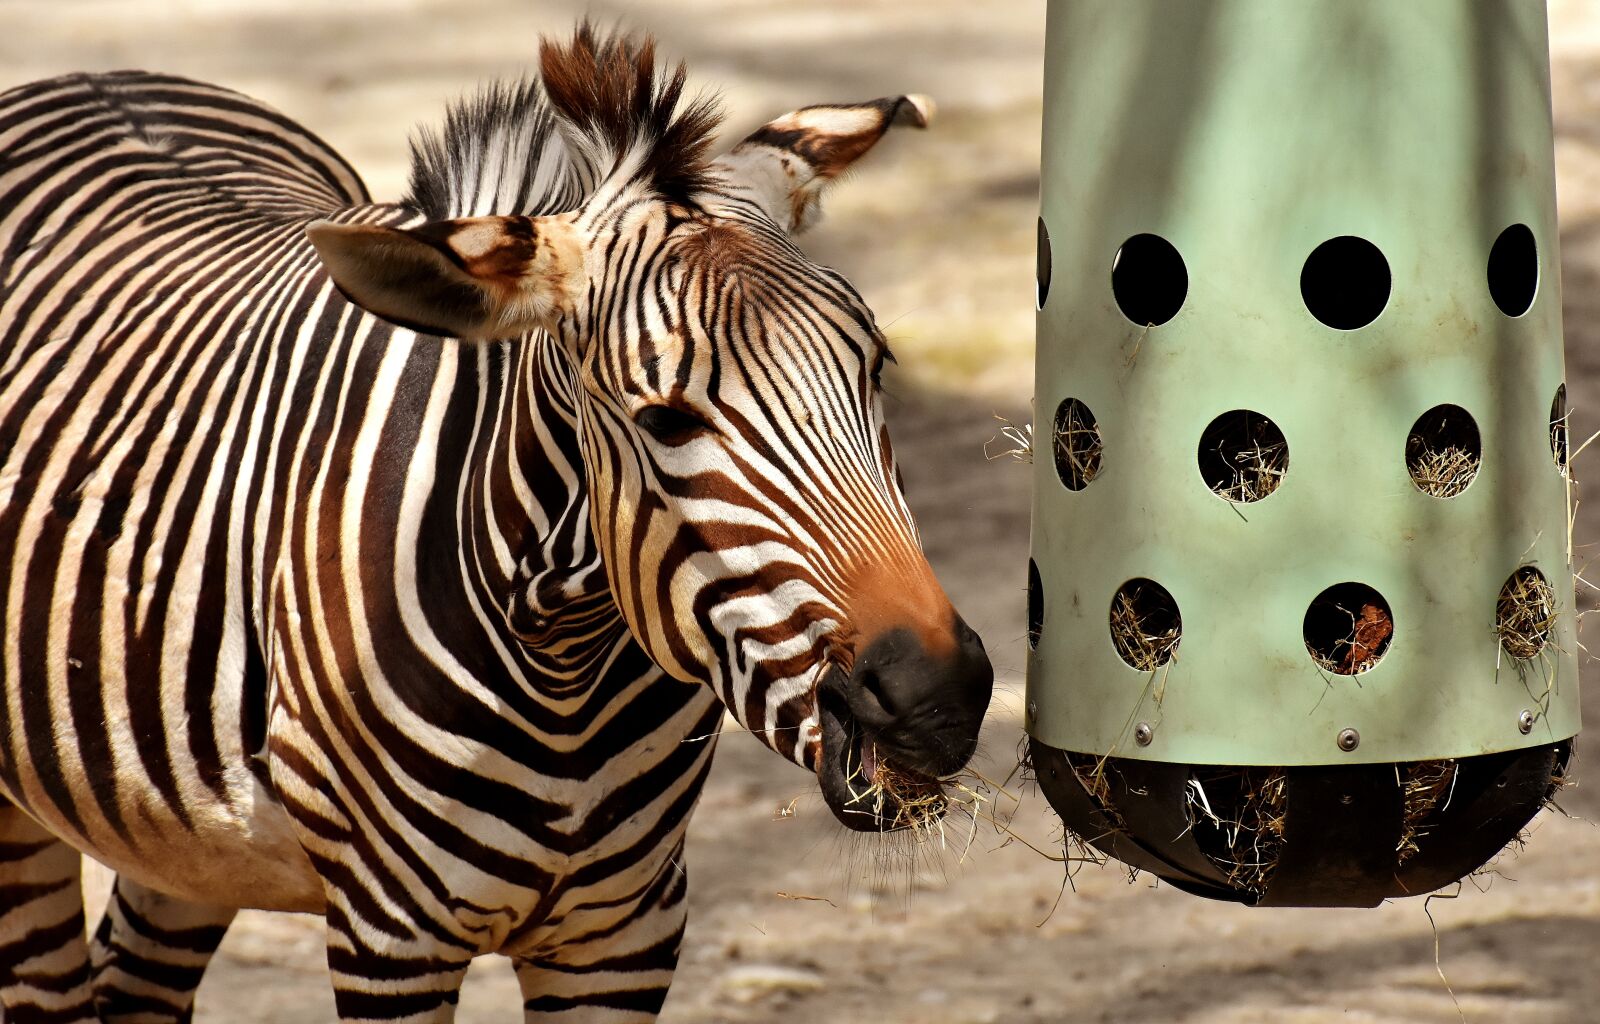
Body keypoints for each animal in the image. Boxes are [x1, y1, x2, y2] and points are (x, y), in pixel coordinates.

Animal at [0, 22, 993, 1024]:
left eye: (877, 369)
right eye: (663, 419)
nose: (935, 699)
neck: (564, 671)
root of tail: (106, 74)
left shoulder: (624, 931)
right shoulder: (391, 934)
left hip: (189, 833)